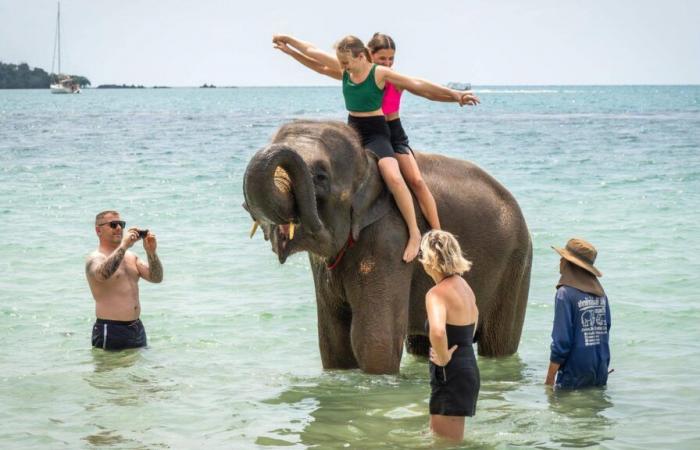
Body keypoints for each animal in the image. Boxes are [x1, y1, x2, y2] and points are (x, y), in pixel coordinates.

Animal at [242, 120, 532, 376]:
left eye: (321, 176)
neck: (367, 159)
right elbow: (334, 341)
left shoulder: (390, 241)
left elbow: (374, 341)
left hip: (516, 265)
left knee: (498, 342)